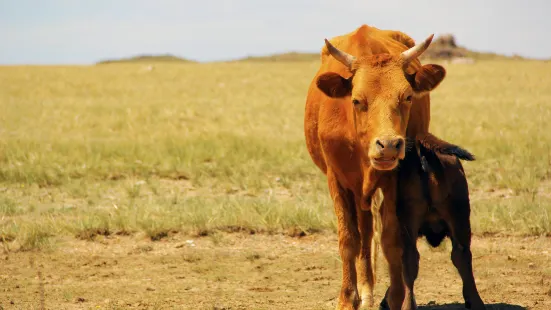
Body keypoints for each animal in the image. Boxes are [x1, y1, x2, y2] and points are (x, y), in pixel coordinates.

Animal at [304, 24, 450, 310]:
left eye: (407, 97)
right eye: (357, 100)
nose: (390, 145)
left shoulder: (395, 179)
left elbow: (392, 237)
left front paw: (396, 297)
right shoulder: (337, 180)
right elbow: (348, 239)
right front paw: (347, 298)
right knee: (364, 232)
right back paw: (365, 291)